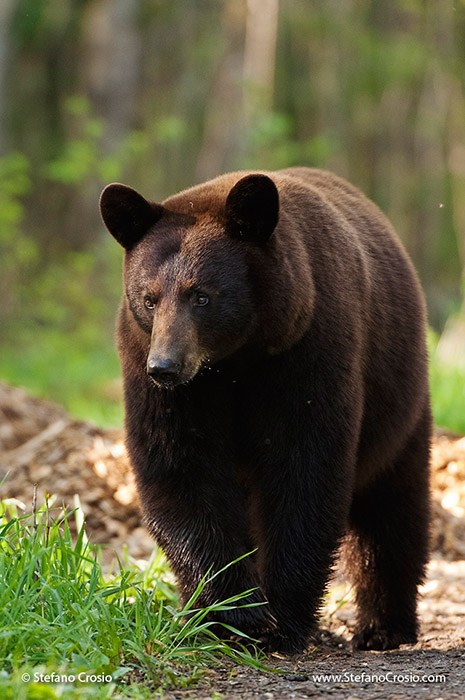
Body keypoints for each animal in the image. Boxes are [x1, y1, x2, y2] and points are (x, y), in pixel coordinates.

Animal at [100, 167, 431, 654]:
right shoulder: (160, 379)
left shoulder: (308, 349)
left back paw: (384, 627)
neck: (235, 360)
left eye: (201, 296)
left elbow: (304, 467)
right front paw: (230, 613)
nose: (165, 366)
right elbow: (181, 467)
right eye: (149, 298)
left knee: (392, 509)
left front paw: (282, 619)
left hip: (399, 402)